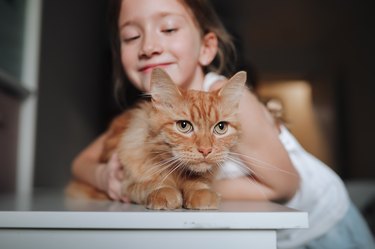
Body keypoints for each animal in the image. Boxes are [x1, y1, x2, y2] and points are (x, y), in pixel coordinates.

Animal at [67, 68, 247, 210]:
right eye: (184, 126)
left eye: (221, 127)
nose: (206, 150)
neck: (178, 174)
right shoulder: (125, 184)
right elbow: (154, 183)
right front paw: (164, 192)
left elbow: (198, 183)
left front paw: (201, 192)